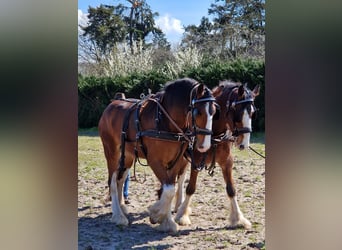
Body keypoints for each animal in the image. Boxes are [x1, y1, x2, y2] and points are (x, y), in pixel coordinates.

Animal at [97, 77, 218, 232]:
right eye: (198, 112)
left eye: (214, 112)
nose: (205, 145)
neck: (165, 122)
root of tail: (112, 104)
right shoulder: (155, 161)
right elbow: (169, 190)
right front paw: (158, 214)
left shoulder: (175, 162)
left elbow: (170, 189)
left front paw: (165, 219)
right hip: (111, 153)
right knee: (112, 181)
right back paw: (118, 216)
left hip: (127, 156)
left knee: (121, 179)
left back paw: (122, 207)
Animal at [175, 81, 260, 229]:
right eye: (238, 113)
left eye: (253, 113)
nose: (244, 144)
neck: (213, 135)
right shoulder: (196, 162)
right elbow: (190, 188)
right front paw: (182, 216)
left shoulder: (227, 163)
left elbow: (231, 189)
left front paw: (238, 219)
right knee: (179, 178)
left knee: (181, 177)